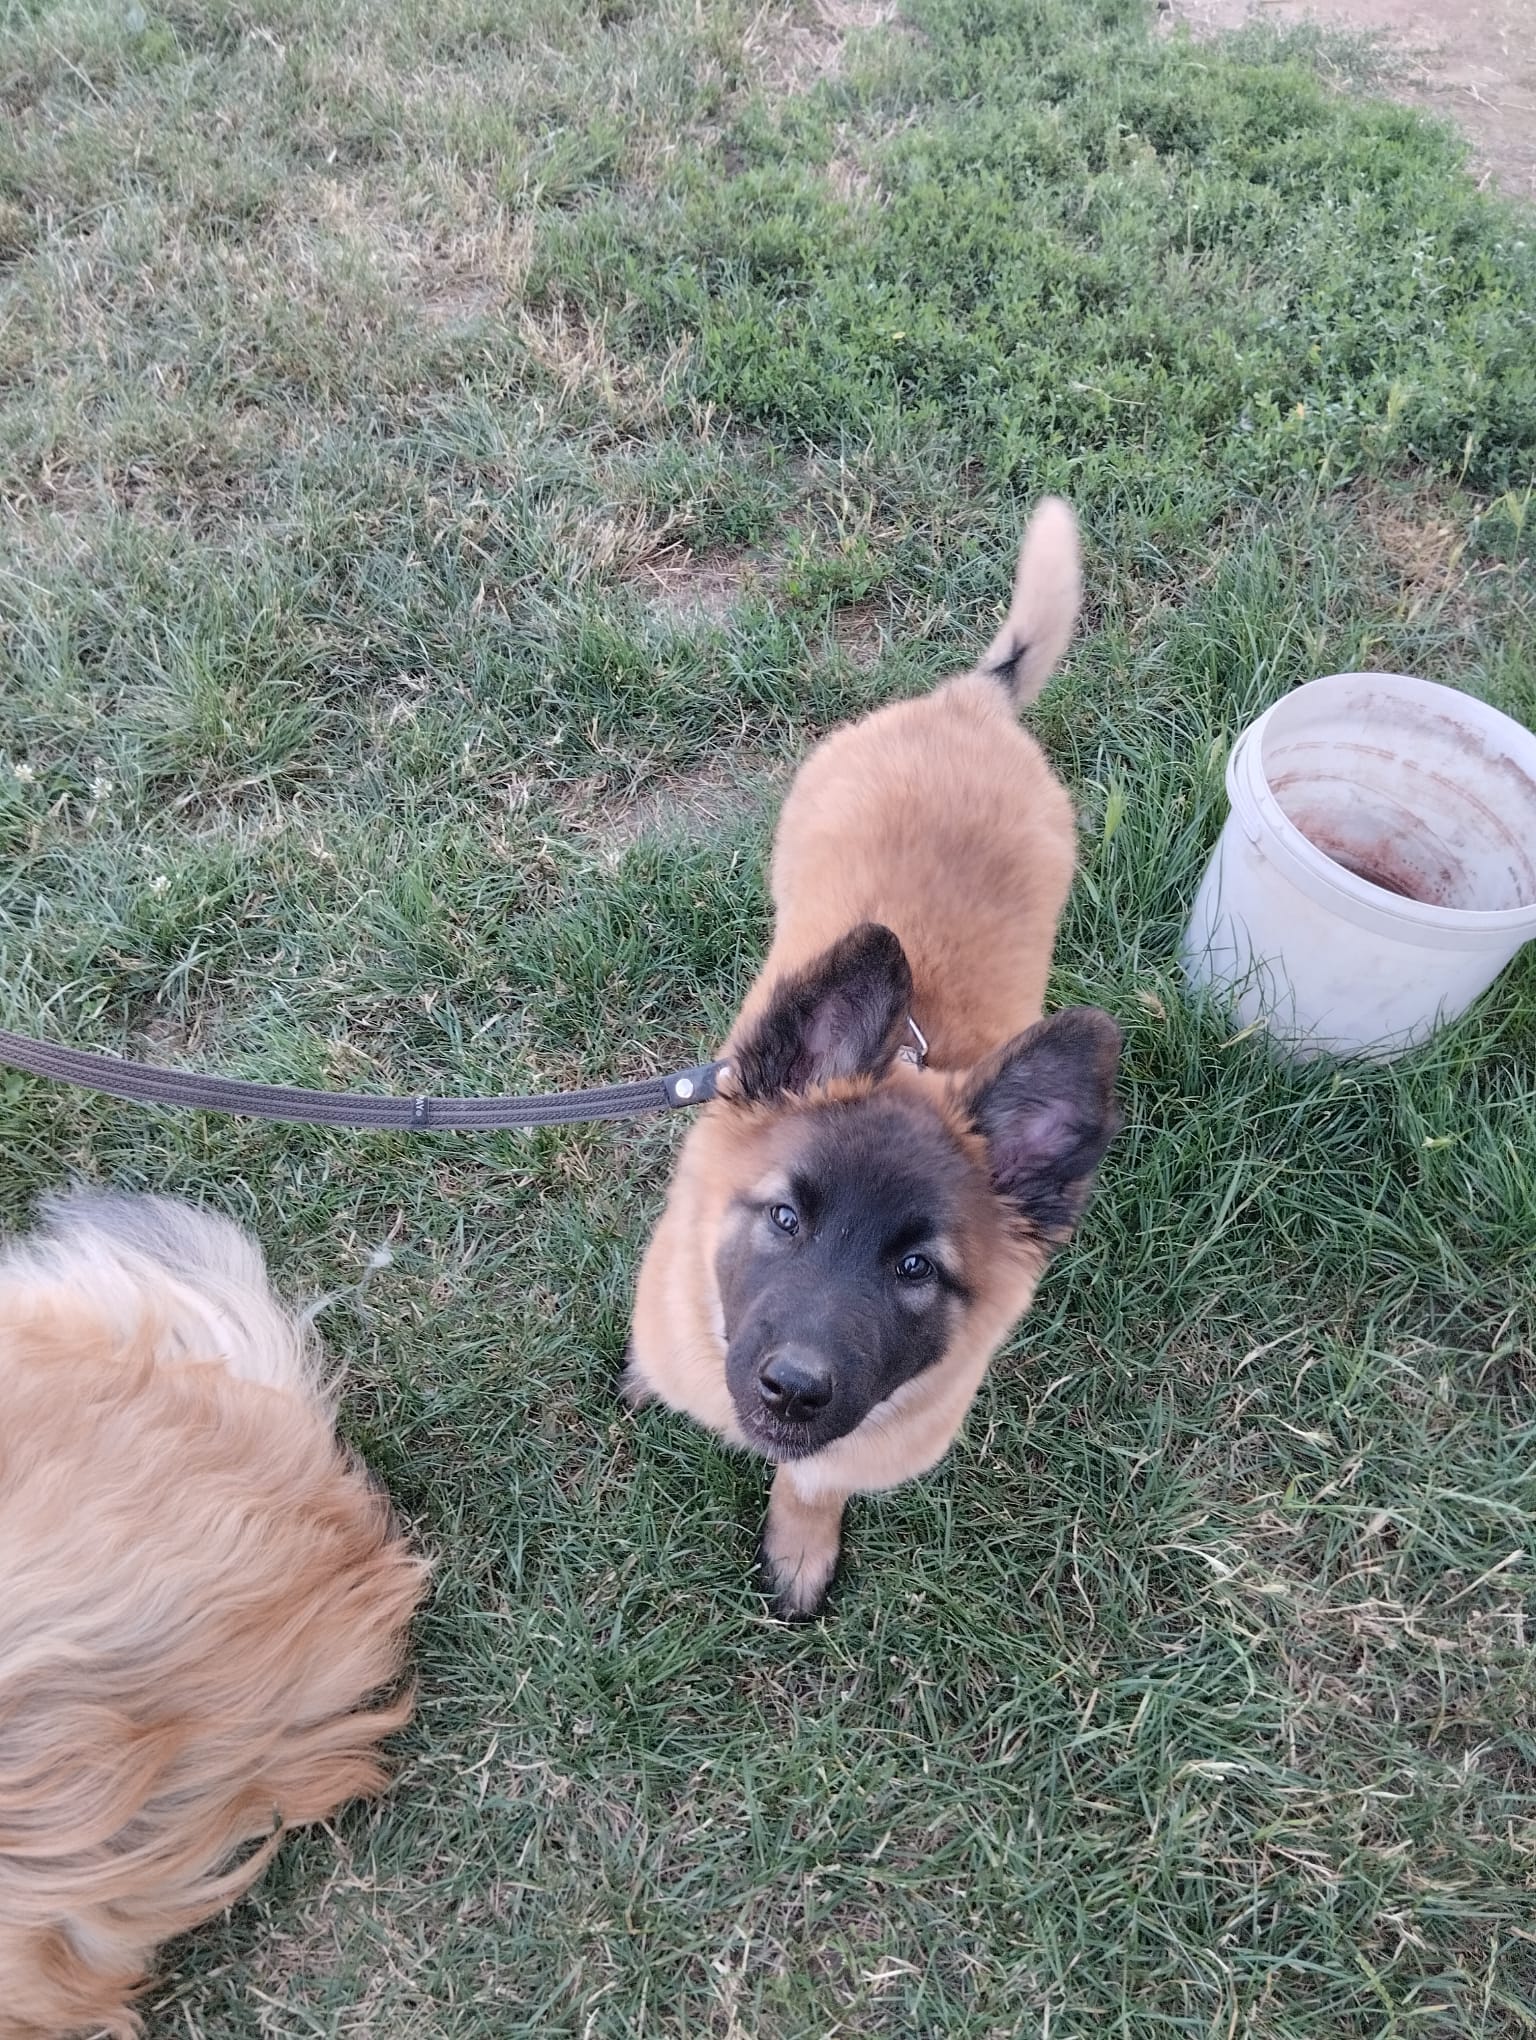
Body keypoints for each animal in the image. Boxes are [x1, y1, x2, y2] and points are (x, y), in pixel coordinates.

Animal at [624, 498, 1123, 1618]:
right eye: (783, 1218)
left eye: (915, 1269)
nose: (793, 1387)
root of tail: (971, 704)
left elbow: (815, 1479)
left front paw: (800, 1545)